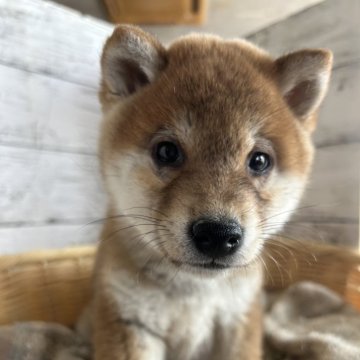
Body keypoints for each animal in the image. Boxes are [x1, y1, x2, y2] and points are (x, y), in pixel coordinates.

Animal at [81, 23, 332, 358]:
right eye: (167, 152)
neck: (194, 293)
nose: (217, 234)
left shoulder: (239, 316)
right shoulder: (128, 318)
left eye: (259, 160)